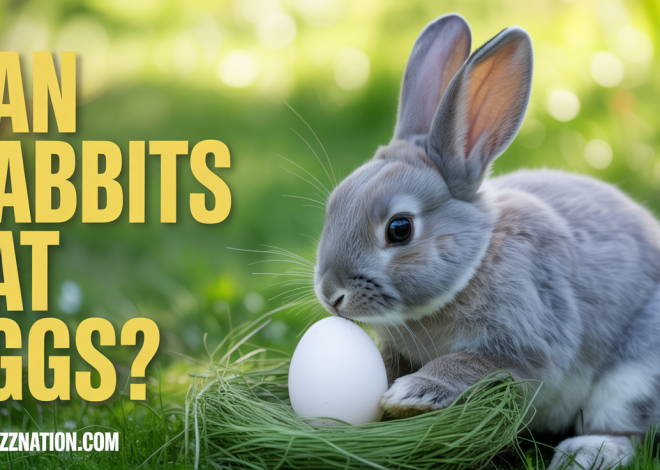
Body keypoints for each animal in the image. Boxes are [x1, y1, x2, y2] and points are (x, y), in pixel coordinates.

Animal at [312, 13, 660, 470]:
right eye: (333, 205)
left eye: (399, 229)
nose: (330, 293)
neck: (474, 265)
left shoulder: (526, 346)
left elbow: (469, 363)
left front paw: (410, 393)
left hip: (636, 373)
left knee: (626, 430)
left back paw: (583, 454)